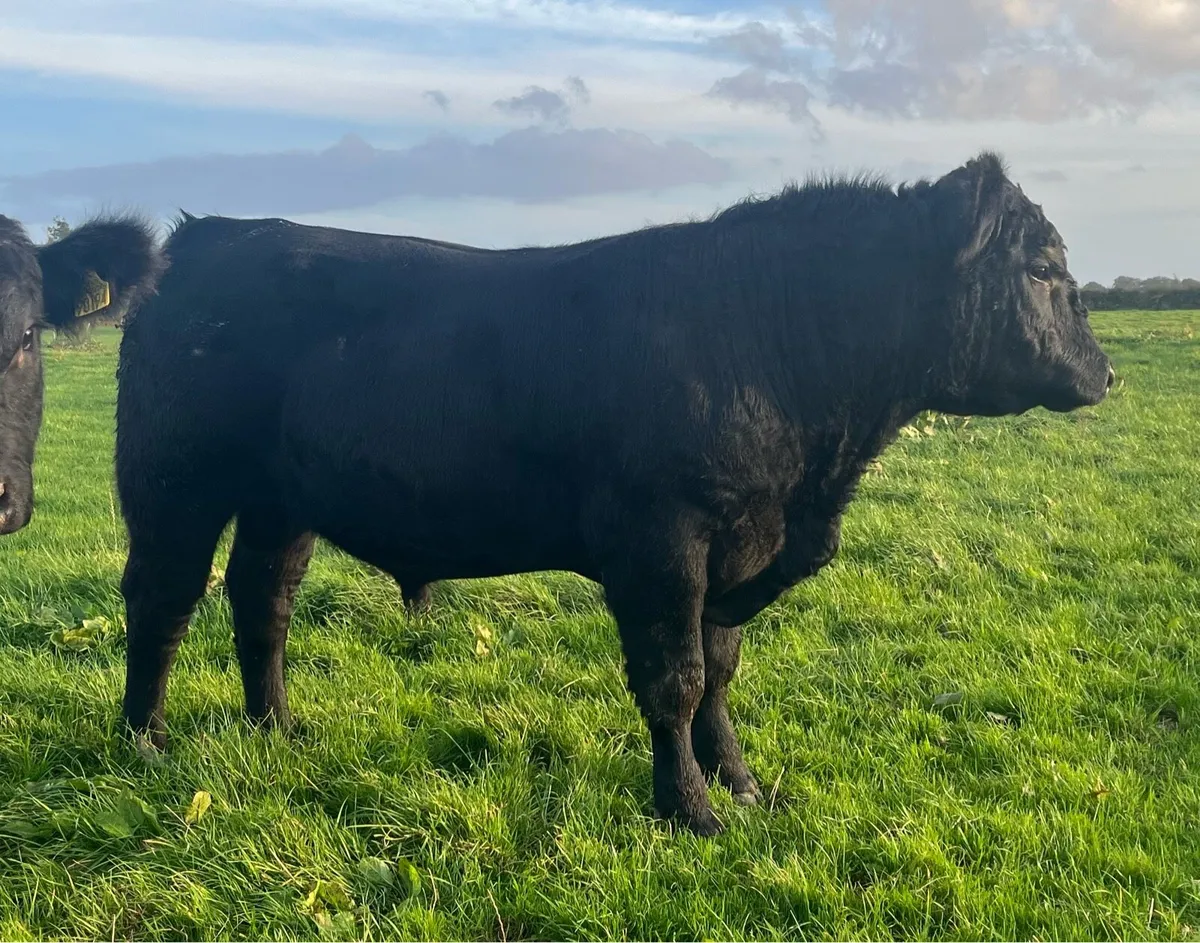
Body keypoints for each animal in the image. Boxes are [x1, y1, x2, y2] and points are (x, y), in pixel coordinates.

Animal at [114, 153, 1113, 836]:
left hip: (280, 500)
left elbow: (720, 673)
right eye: (1041, 268)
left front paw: (743, 786)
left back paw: (278, 730)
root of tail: (213, 231)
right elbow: (674, 679)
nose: (1105, 372)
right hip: (174, 479)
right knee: (164, 599)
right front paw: (691, 811)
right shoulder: (661, 543)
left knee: (263, 603)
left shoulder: (735, 548)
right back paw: (144, 740)